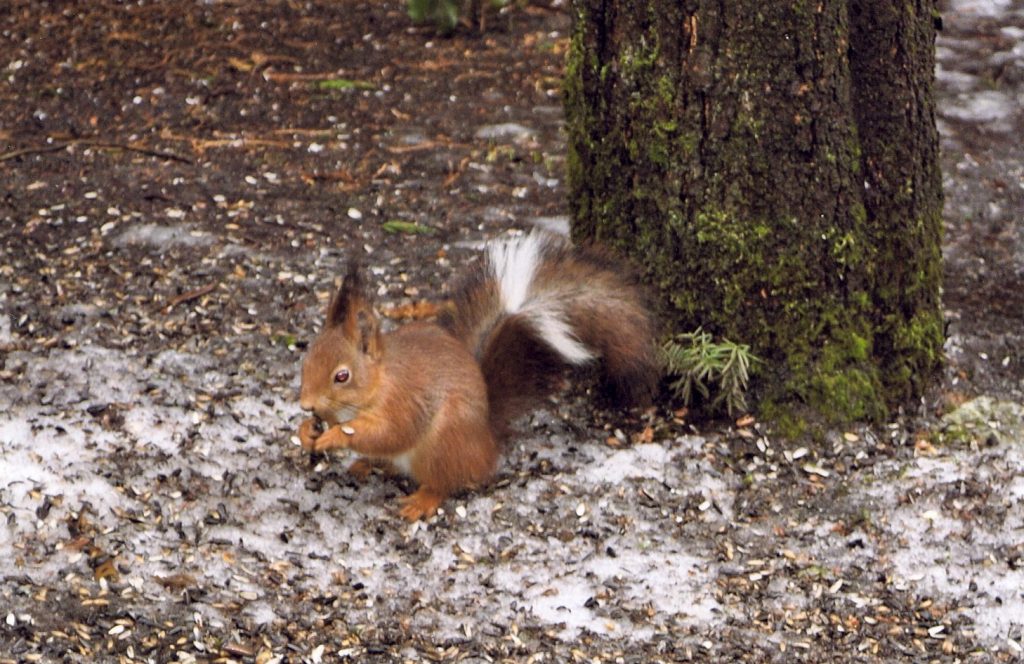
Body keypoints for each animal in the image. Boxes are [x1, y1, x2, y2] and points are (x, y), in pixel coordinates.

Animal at [299, 230, 655, 520]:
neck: (378, 382)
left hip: (442, 445)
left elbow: (389, 433)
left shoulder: (406, 402)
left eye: (342, 376)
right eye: (306, 361)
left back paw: (422, 501)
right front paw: (306, 431)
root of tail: (487, 440)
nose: (305, 405)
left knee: (444, 482)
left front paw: (334, 436)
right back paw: (366, 464)